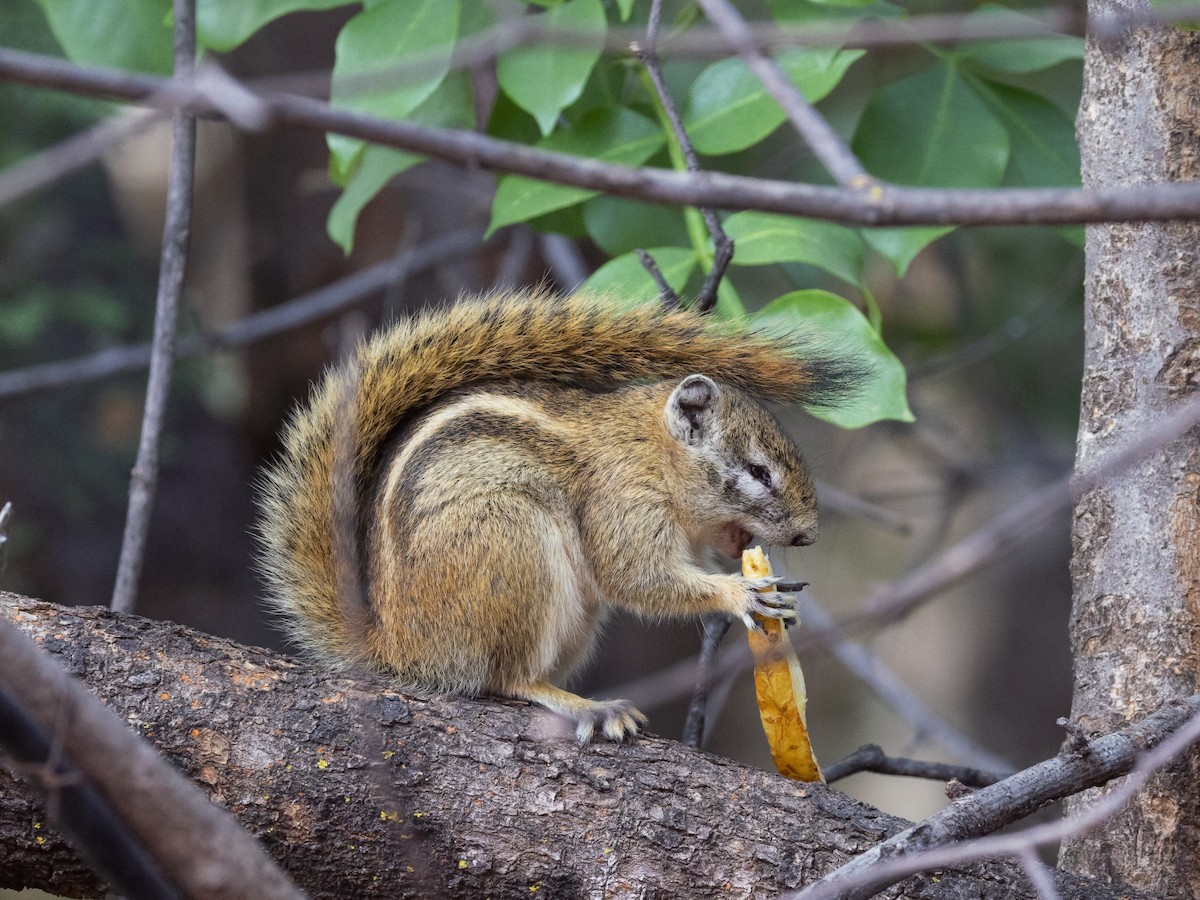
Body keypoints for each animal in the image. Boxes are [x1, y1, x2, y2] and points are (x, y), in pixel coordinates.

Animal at [257, 289, 861, 742]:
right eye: (758, 472)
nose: (808, 534)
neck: (651, 449)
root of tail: (399, 647)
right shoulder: (622, 500)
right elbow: (636, 577)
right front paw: (741, 592)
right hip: (512, 543)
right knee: (506, 678)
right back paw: (587, 706)